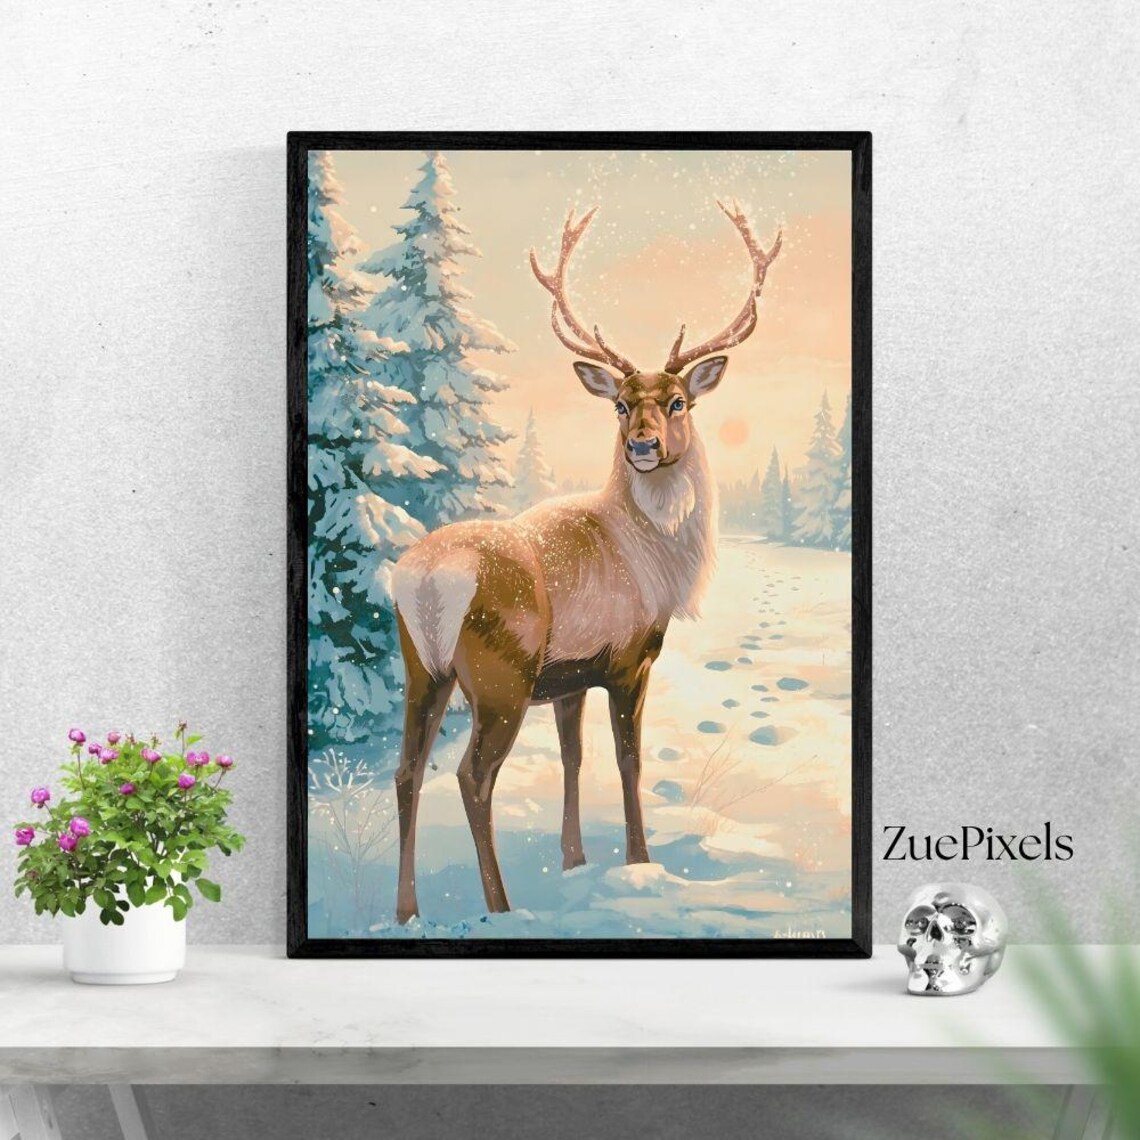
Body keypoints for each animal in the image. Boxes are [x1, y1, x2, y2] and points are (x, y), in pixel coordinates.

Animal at [390, 201, 782, 923]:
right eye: (621, 404)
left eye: (678, 400)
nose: (644, 446)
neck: (654, 559)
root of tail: (425, 583)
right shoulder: (628, 661)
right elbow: (629, 763)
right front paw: (640, 863)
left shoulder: (569, 679)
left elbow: (573, 759)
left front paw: (575, 862)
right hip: (500, 675)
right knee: (471, 776)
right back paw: (501, 907)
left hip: (422, 668)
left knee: (408, 771)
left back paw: (407, 913)